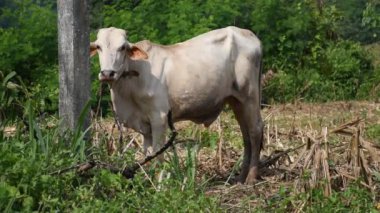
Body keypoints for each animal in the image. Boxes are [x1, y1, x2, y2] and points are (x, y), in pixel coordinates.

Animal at [91, 26, 266, 183]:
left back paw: (251, 178)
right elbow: (147, 153)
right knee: (246, 135)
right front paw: (148, 180)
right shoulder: (144, 125)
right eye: (99, 46)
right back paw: (241, 177)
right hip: (236, 100)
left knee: (255, 130)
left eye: (122, 47)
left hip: (249, 95)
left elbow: (158, 152)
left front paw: (159, 184)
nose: (107, 73)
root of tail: (249, 34)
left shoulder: (159, 117)